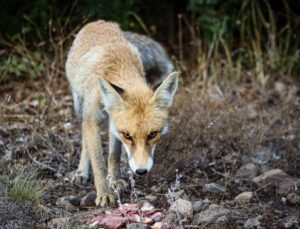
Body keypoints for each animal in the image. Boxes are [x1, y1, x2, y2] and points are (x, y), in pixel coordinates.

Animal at [65, 20, 178, 207]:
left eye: (153, 134)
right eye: (128, 135)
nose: (141, 171)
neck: (118, 66)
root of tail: (100, 21)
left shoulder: (115, 125)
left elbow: (114, 155)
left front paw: (115, 180)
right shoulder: (92, 119)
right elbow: (98, 163)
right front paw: (104, 193)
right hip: (80, 106)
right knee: (85, 140)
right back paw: (81, 172)